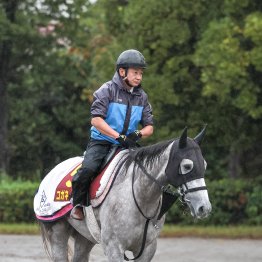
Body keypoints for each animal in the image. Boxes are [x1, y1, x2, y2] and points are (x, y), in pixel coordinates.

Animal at [38, 127, 211, 260]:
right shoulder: (114, 248)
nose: (204, 208)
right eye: (187, 166)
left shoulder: (147, 250)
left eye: (204, 165)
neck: (141, 199)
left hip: (85, 238)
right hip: (58, 232)